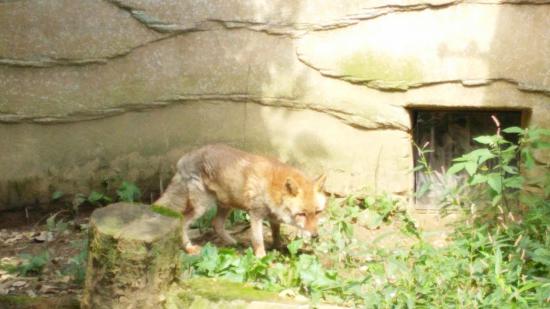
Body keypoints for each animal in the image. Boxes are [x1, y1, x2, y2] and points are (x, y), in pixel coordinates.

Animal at [154, 143, 328, 256]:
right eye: (302, 214)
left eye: (318, 212)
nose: (315, 236)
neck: (272, 188)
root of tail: (184, 158)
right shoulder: (255, 214)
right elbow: (258, 241)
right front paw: (262, 259)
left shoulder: (273, 218)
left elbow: (276, 235)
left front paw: (279, 248)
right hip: (202, 207)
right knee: (182, 221)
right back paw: (189, 248)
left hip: (226, 204)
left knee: (216, 224)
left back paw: (232, 242)